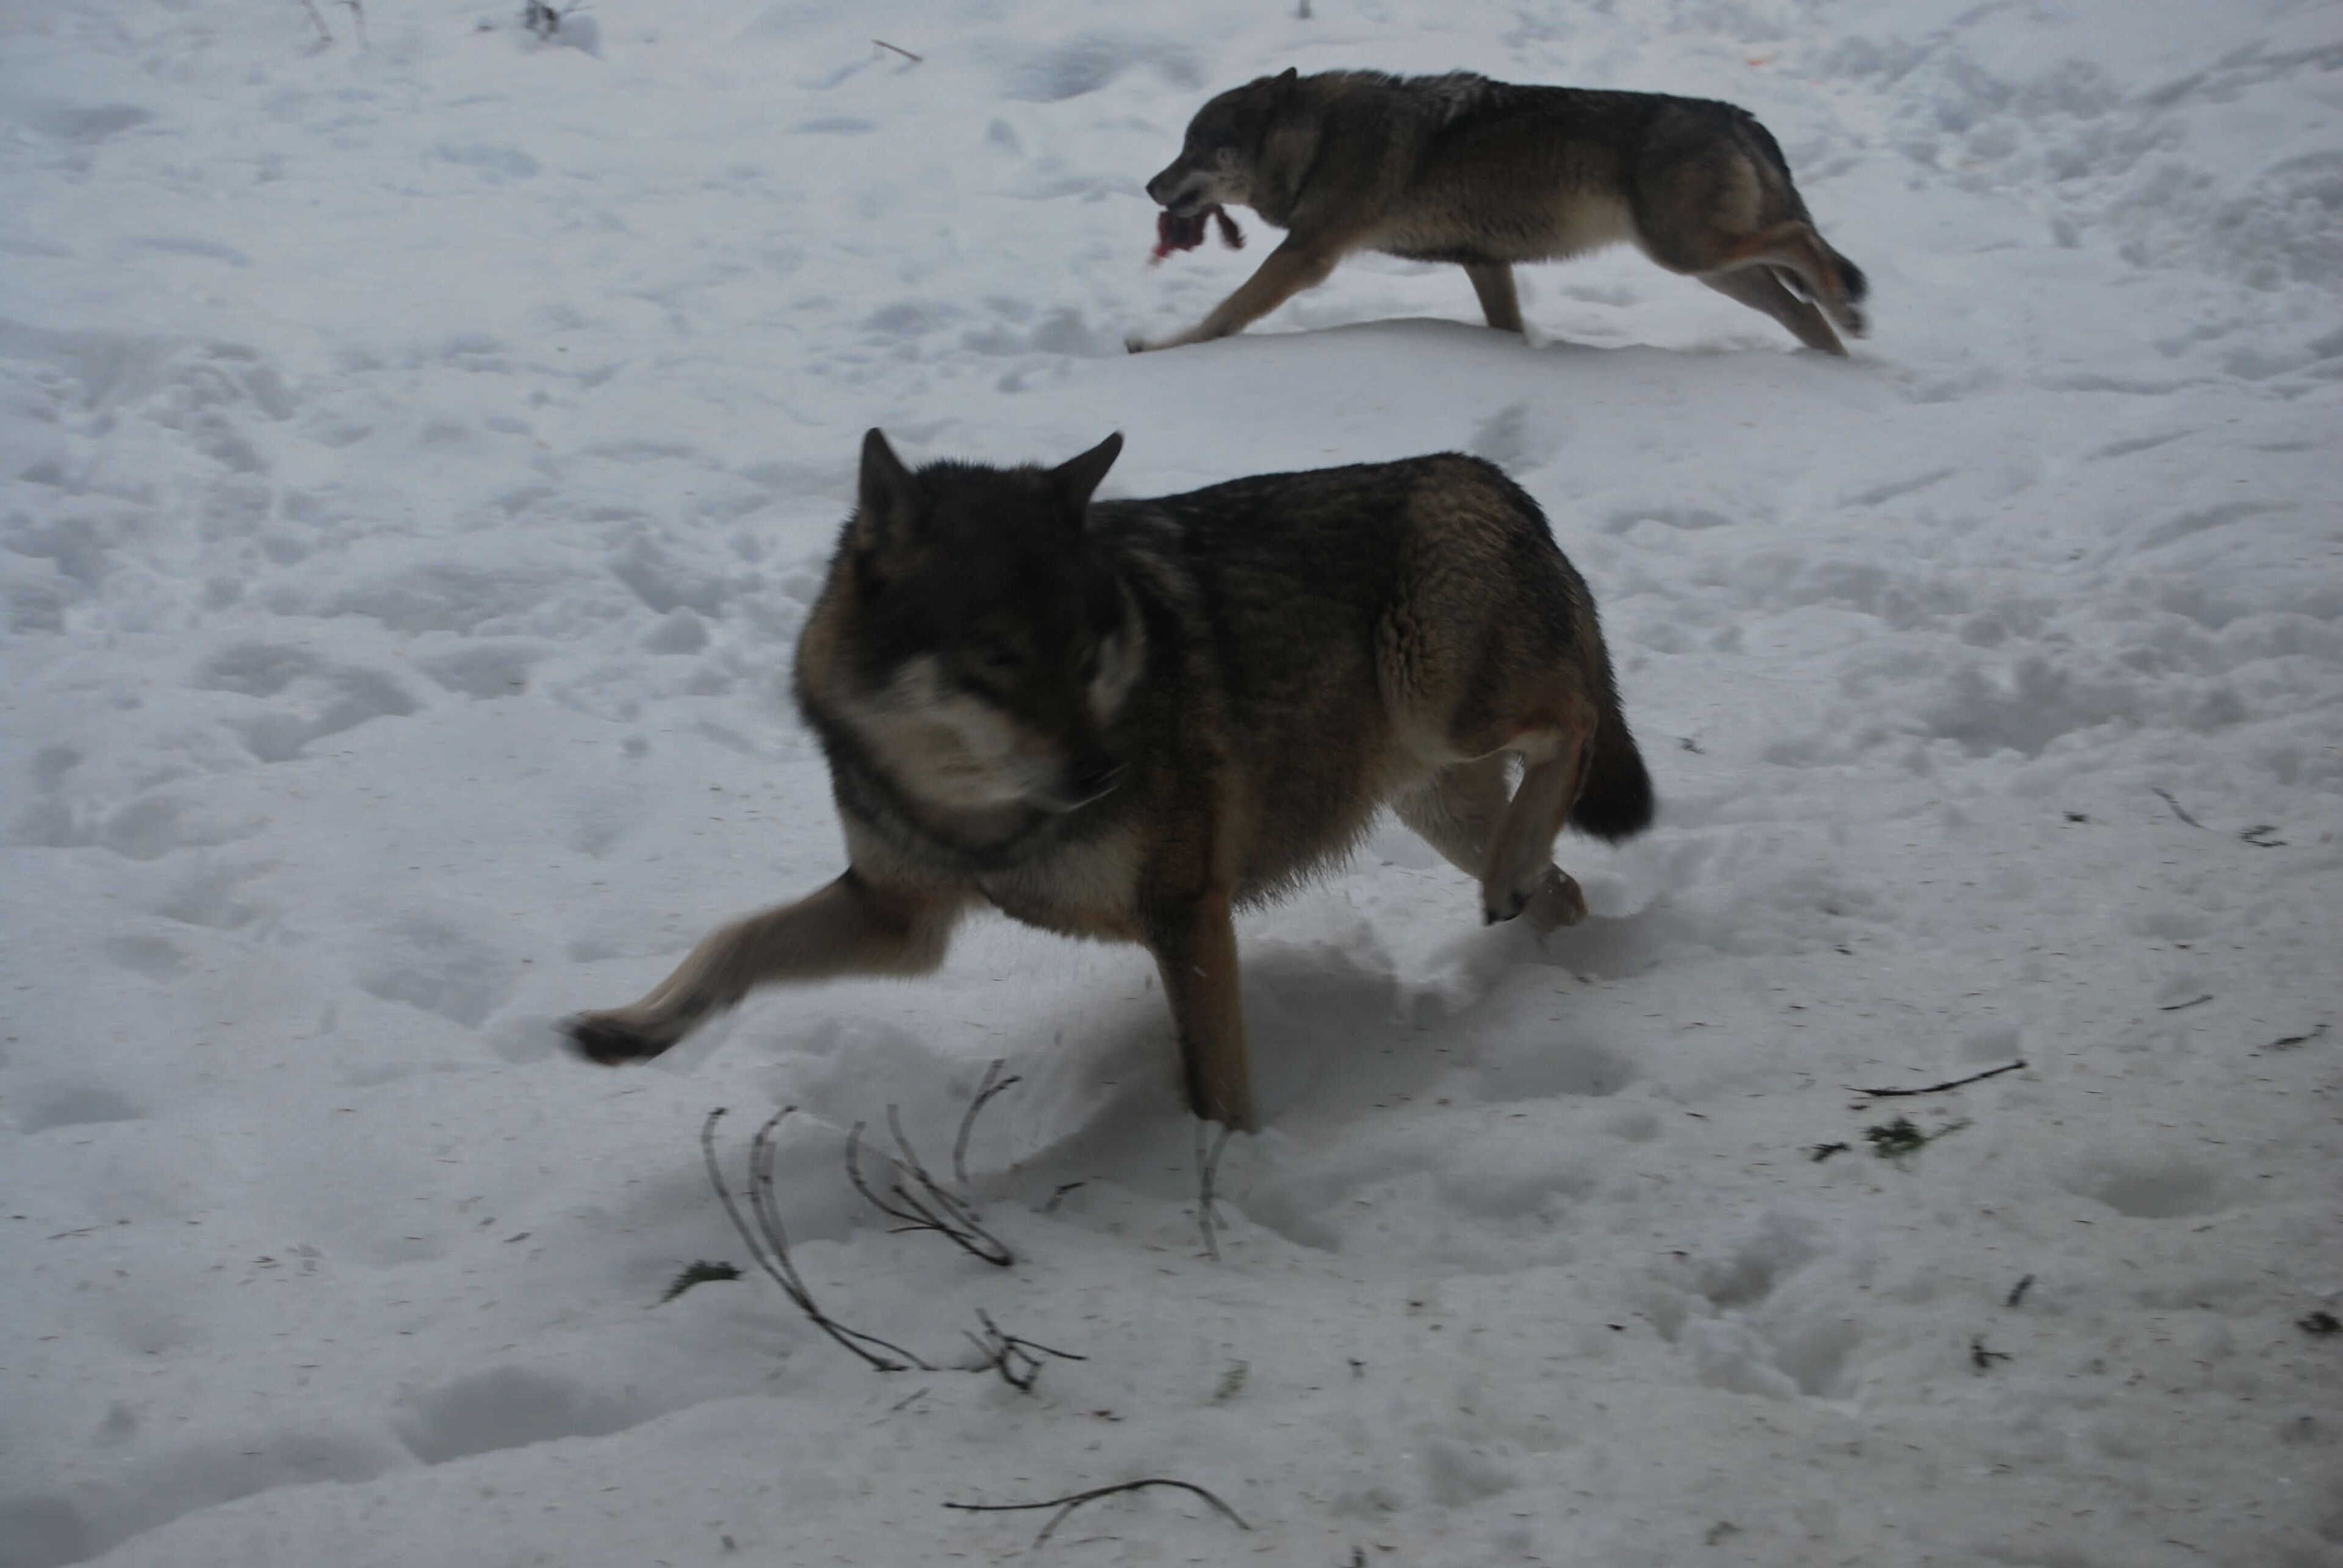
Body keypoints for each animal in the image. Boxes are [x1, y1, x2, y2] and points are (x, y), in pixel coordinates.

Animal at [565, 432, 1654, 1132]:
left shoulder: (1184, 910)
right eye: (998, 657)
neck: (978, 815)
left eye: (1086, 648)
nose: (1103, 772)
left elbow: (1217, 1088)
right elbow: (733, 939)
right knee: (1562, 877)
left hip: (1439, 701)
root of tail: (1490, 474)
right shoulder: (899, 916)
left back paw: (1525, 893)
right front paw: (631, 1028)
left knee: (1576, 723)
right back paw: (1555, 959)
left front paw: (1227, 1186)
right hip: (1434, 797)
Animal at [1133, 69, 1867, 356]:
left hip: (1687, 253)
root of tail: (1737, 116)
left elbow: (1226, 313)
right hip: (1713, 268)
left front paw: (1158, 347)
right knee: (1801, 310)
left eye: (1195, 146)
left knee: (1802, 241)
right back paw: (1838, 364)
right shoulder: (1485, 262)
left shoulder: (1307, 256)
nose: (1148, 186)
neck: (1321, 139)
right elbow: (1507, 328)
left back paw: (1847, 307)